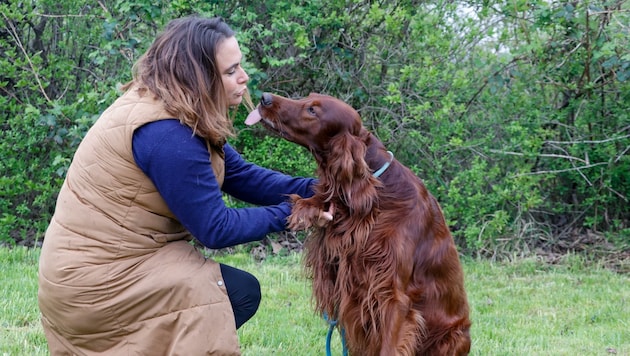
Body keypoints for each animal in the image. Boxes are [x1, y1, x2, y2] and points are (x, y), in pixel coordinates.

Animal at [247, 93, 474, 354]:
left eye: (313, 110)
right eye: (307, 98)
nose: (265, 97)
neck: (377, 193)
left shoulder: (394, 298)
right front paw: (308, 206)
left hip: (453, 336)